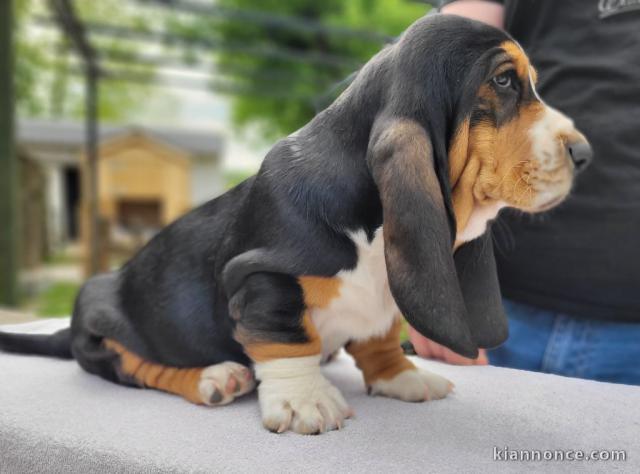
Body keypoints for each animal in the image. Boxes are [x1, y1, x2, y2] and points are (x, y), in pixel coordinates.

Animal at [0, 12, 592, 436]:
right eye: (504, 80)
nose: (585, 154)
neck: (370, 226)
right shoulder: (262, 278)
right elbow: (287, 338)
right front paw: (306, 401)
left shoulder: (381, 299)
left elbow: (380, 335)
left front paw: (402, 377)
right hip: (101, 315)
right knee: (133, 366)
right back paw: (215, 376)